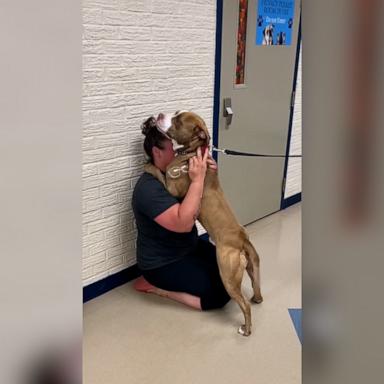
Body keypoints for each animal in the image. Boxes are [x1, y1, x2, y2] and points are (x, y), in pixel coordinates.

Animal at [146, 111, 262, 336]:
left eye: (178, 120)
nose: (161, 113)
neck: (194, 151)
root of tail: (242, 240)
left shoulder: (172, 189)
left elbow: (157, 172)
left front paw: (147, 166)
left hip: (227, 274)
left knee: (244, 305)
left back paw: (245, 329)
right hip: (253, 268)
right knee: (256, 288)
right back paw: (256, 298)